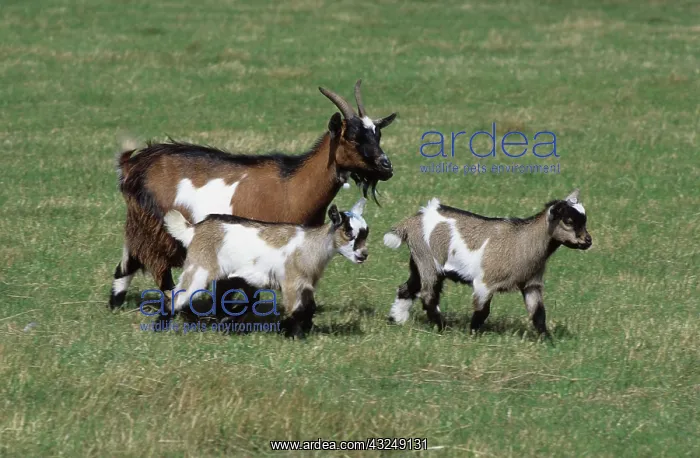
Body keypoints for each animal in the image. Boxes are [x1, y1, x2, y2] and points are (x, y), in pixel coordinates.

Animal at [109, 80, 396, 309]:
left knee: (127, 264)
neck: (292, 185)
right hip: (156, 230)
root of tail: (134, 164)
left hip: (142, 226)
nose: (386, 167)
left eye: (378, 135)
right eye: (352, 137)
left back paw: (115, 303)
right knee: (158, 271)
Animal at [162, 198, 369, 337]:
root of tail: (194, 229)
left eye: (366, 233)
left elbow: (310, 307)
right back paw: (161, 326)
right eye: (349, 232)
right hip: (200, 267)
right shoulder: (291, 283)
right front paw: (294, 335)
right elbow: (296, 310)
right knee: (177, 295)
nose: (364, 255)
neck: (310, 245)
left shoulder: (306, 285)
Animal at [383, 189, 592, 336]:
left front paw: (547, 339)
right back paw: (442, 327)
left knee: (407, 288)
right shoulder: (485, 282)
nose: (588, 241)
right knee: (428, 295)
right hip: (428, 261)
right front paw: (472, 334)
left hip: (419, 262)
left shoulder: (531, 284)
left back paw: (397, 319)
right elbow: (482, 311)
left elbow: (538, 313)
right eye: (568, 220)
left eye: (584, 220)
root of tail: (410, 222)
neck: (523, 241)